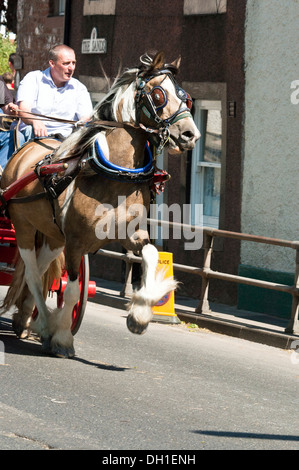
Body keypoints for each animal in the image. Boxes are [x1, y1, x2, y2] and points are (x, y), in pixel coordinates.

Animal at [0, 51, 202, 358]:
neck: (117, 174)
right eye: (158, 94)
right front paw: (62, 338)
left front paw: (139, 316)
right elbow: (72, 290)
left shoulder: (129, 233)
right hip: (23, 227)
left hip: (51, 235)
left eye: (186, 96)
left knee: (40, 269)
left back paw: (26, 319)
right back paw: (44, 325)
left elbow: (151, 254)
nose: (191, 134)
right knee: (33, 274)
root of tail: (25, 150)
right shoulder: (75, 242)